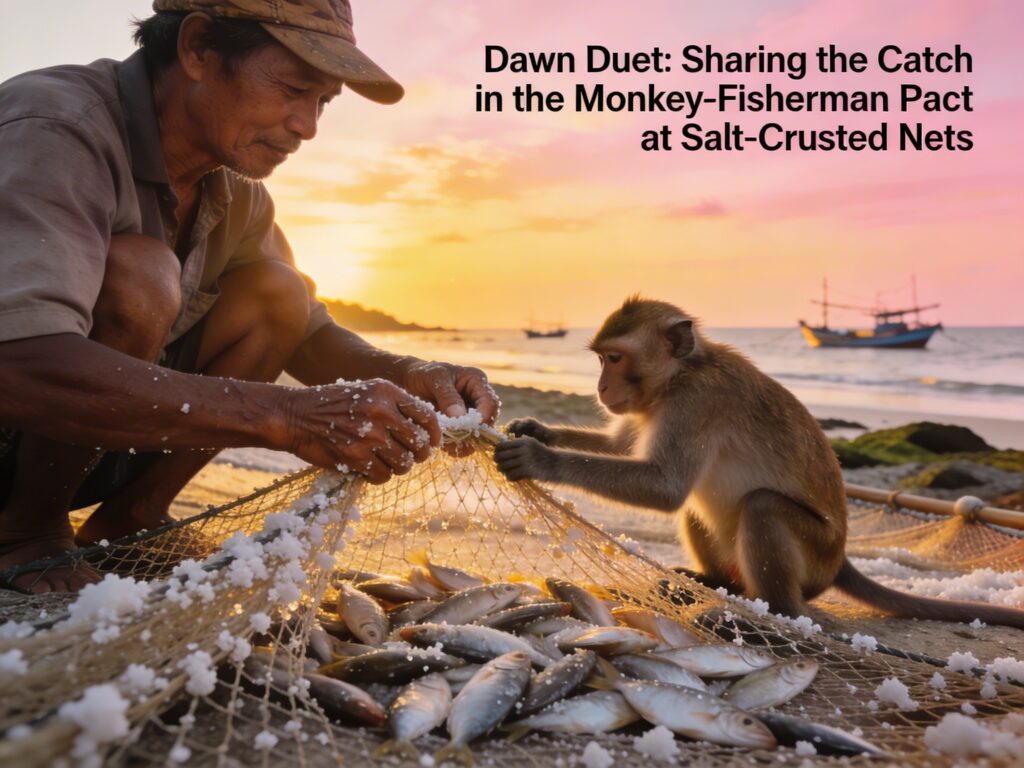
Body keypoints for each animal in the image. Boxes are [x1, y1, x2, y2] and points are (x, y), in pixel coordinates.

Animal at [494, 296, 1024, 629]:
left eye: (615, 359)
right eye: (602, 359)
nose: (602, 387)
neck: (681, 373)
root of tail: (839, 560)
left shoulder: (697, 402)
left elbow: (664, 487)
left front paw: (542, 458)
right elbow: (627, 449)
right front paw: (537, 429)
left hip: (814, 558)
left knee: (761, 507)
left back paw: (773, 609)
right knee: (702, 506)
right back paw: (709, 581)